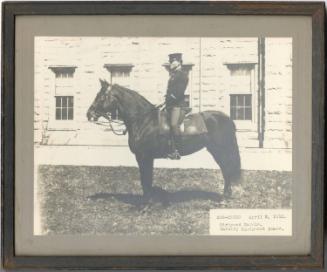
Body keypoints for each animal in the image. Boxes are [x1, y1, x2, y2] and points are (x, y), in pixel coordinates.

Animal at [87, 79, 241, 199]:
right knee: (225, 169)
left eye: (101, 97)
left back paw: (225, 197)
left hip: (220, 150)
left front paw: (146, 204)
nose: (89, 114)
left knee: (226, 168)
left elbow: (146, 180)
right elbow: (146, 180)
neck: (144, 120)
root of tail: (226, 118)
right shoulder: (144, 158)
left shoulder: (144, 157)